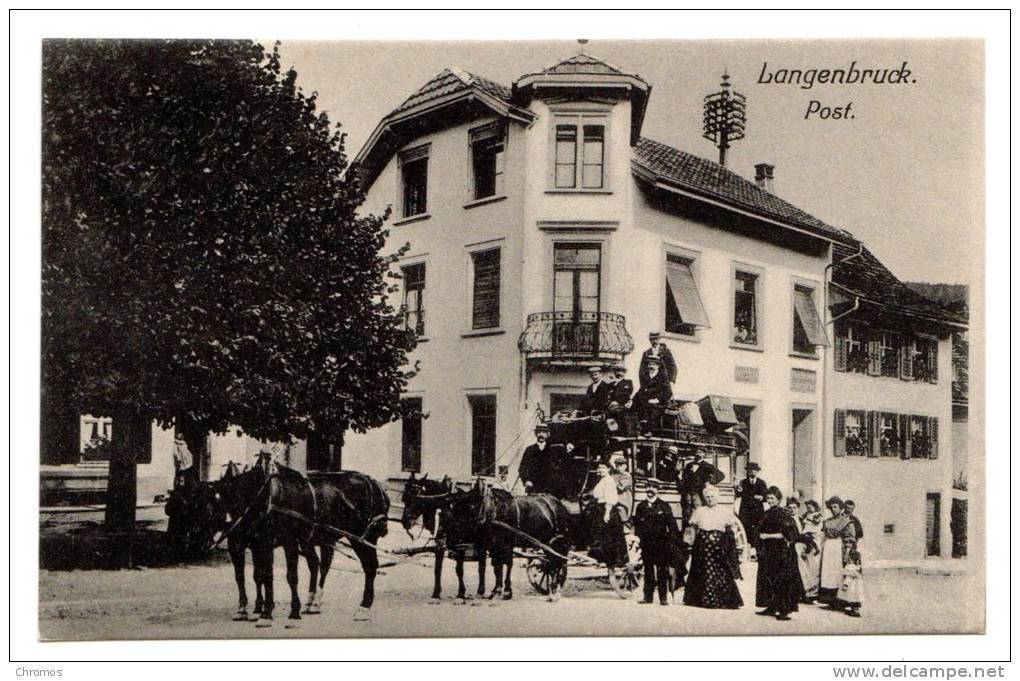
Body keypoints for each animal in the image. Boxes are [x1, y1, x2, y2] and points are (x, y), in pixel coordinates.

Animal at [210, 460, 389, 623]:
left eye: (212, 505)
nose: (214, 540)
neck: (263, 498)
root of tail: (372, 482)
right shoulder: (249, 545)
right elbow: (252, 576)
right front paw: (251, 610)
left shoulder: (280, 542)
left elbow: (283, 576)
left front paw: (272, 613)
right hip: (321, 538)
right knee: (318, 564)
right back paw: (313, 603)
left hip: (362, 537)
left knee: (369, 567)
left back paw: (363, 607)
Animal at [446, 479, 575, 599]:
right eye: (454, 508)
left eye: (471, 506)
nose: (452, 541)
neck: (494, 510)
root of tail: (561, 505)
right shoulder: (492, 545)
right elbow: (495, 567)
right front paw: (494, 590)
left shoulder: (507, 544)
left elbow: (507, 564)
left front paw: (505, 591)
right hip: (546, 543)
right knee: (551, 562)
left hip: (558, 541)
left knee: (558, 562)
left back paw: (555, 587)